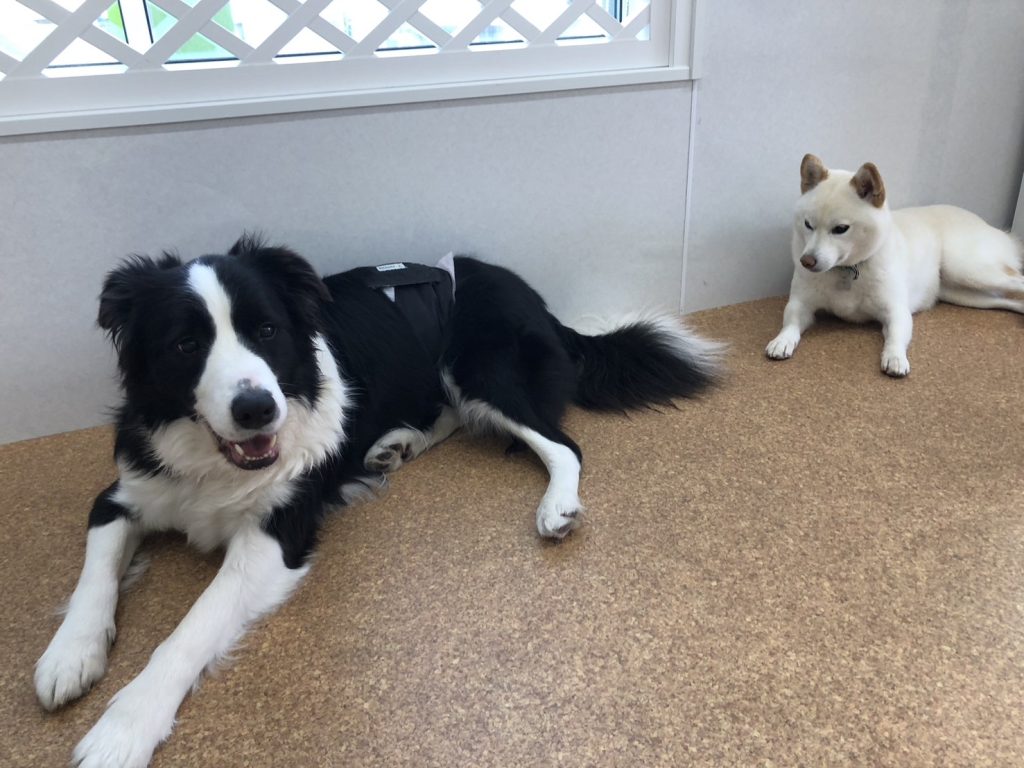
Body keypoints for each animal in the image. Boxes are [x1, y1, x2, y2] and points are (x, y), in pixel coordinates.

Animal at [35, 235, 722, 767]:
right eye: (184, 345)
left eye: (266, 331)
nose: (257, 409)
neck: (212, 459)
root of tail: (538, 301)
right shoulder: (123, 492)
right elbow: (94, 575)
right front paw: (70, 654)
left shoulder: (275, 536)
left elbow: (189, 630)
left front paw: (125, 726)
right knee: (455, 415)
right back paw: (397, 444)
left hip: (481, 366)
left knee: (563, 444)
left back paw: (556, 507)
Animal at [766, 154, 1024, 376]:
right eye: (808, 224)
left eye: (840, 229)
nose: (806, 261)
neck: (848, 270)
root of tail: (992, 227)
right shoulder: (801, 304)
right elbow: (790, 323)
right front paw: (782, 340)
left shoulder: (896, 311)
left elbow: (895, 337)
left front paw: (895, 357)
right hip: (964, 294)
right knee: (1008, 300)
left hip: (968, 270)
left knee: (1017, 281)